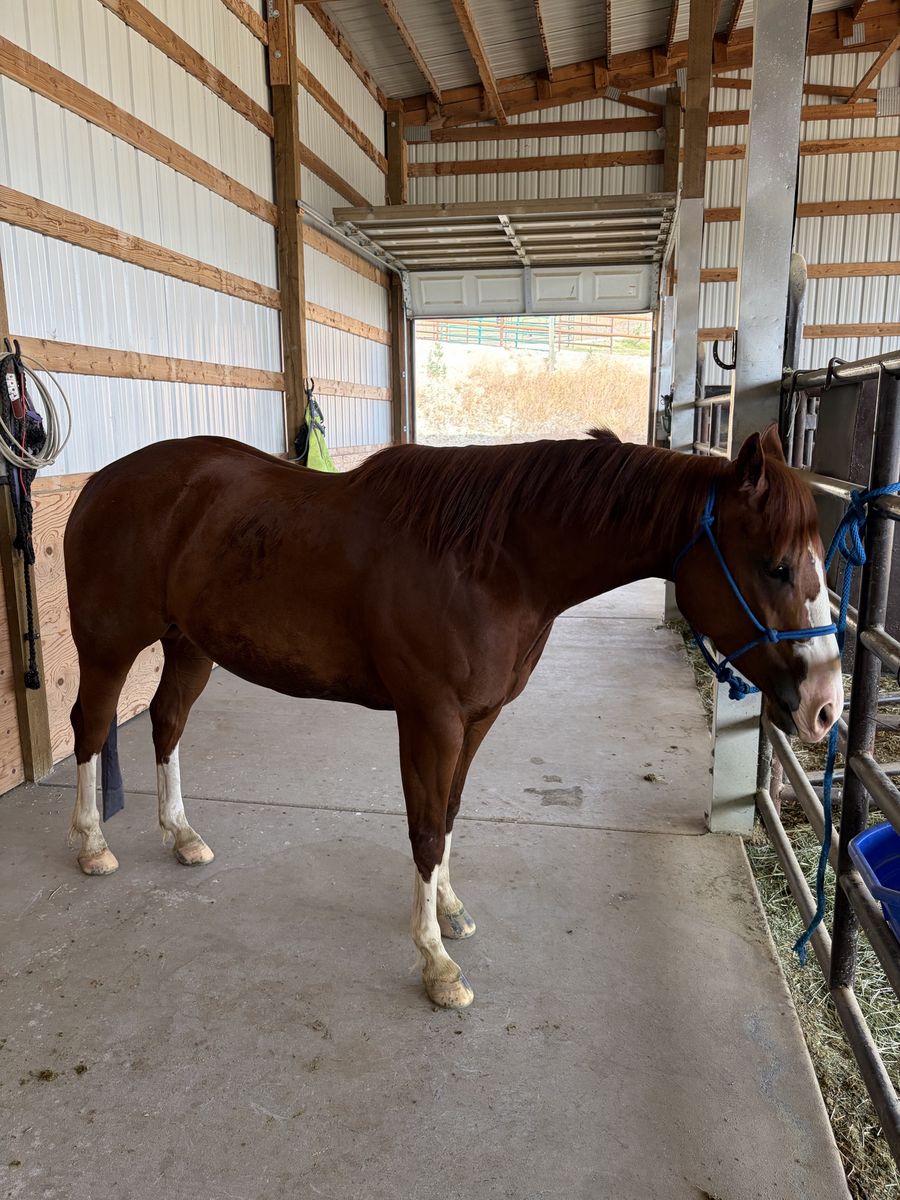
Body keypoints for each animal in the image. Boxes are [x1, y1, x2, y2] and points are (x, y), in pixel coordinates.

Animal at [63, 424, 842, 1009]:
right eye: (774, 565)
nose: (825, 706)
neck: (495, 560)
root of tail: (100, 483)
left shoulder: (478, 717)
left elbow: (451, 812)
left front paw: (449, 910)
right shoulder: (428, 717)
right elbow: (426, 825)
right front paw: (436, 964)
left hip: (188, 645)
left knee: (166, 723)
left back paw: (182, 836)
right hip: (109, 645)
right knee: (92, 726)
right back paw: (94, 845)